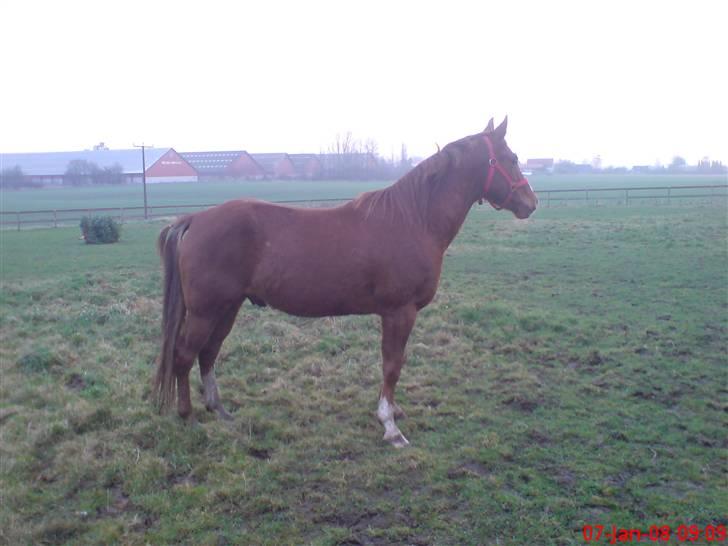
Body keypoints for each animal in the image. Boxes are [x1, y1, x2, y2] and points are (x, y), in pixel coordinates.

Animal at [154, 116, 536, 446]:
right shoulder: (399, 312)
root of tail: (195, 219)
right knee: (185, 355)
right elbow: (392, 365)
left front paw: (394, 411)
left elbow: (396, 364)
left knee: (208, 353)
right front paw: (390, 425)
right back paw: (188, 416)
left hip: (227, 307)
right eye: (511, 158)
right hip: (206, 310)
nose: (530, 202)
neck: (414, 219)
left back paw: (220, 410)